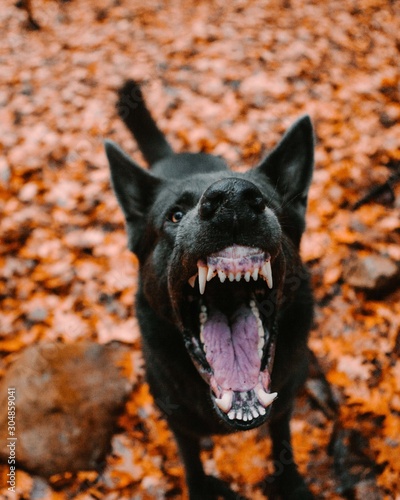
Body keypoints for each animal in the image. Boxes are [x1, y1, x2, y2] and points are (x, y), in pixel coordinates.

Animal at [105, 80, 316, 498]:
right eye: (175, 215)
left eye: (268, 203)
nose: (233, 199)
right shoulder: (178, 422)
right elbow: (191, 462)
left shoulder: (284, 404)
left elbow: (281, 437)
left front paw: (290, 481)